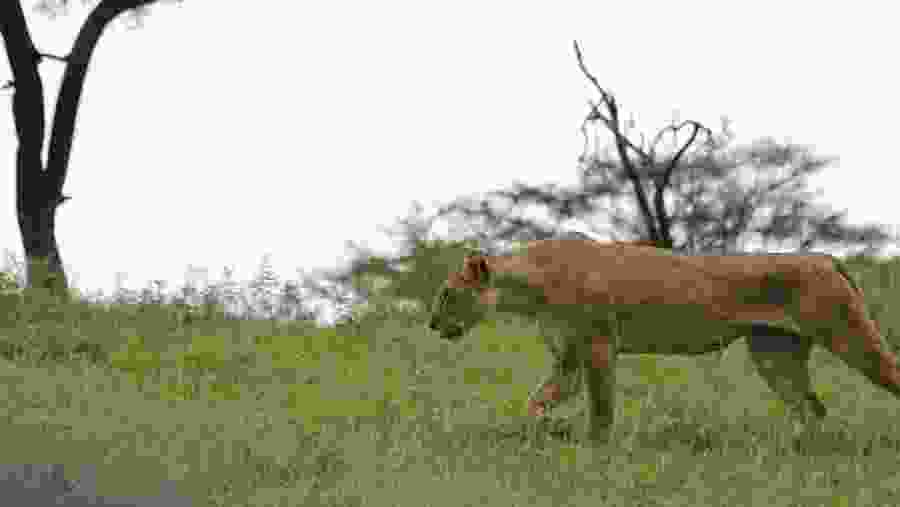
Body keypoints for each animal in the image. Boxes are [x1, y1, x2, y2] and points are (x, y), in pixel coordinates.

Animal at [427, 239, 900, 444]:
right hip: (774, 353)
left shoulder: (598, 346)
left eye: (447, 293)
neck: (530, 288)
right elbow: (536, 402)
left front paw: (595, 450)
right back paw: (795, 451)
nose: (432, 325)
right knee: (811, 407)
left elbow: (602, 408)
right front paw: (546, 431)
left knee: (884, 375)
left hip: (848, 335)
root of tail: (827, 257)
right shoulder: (569, 358)